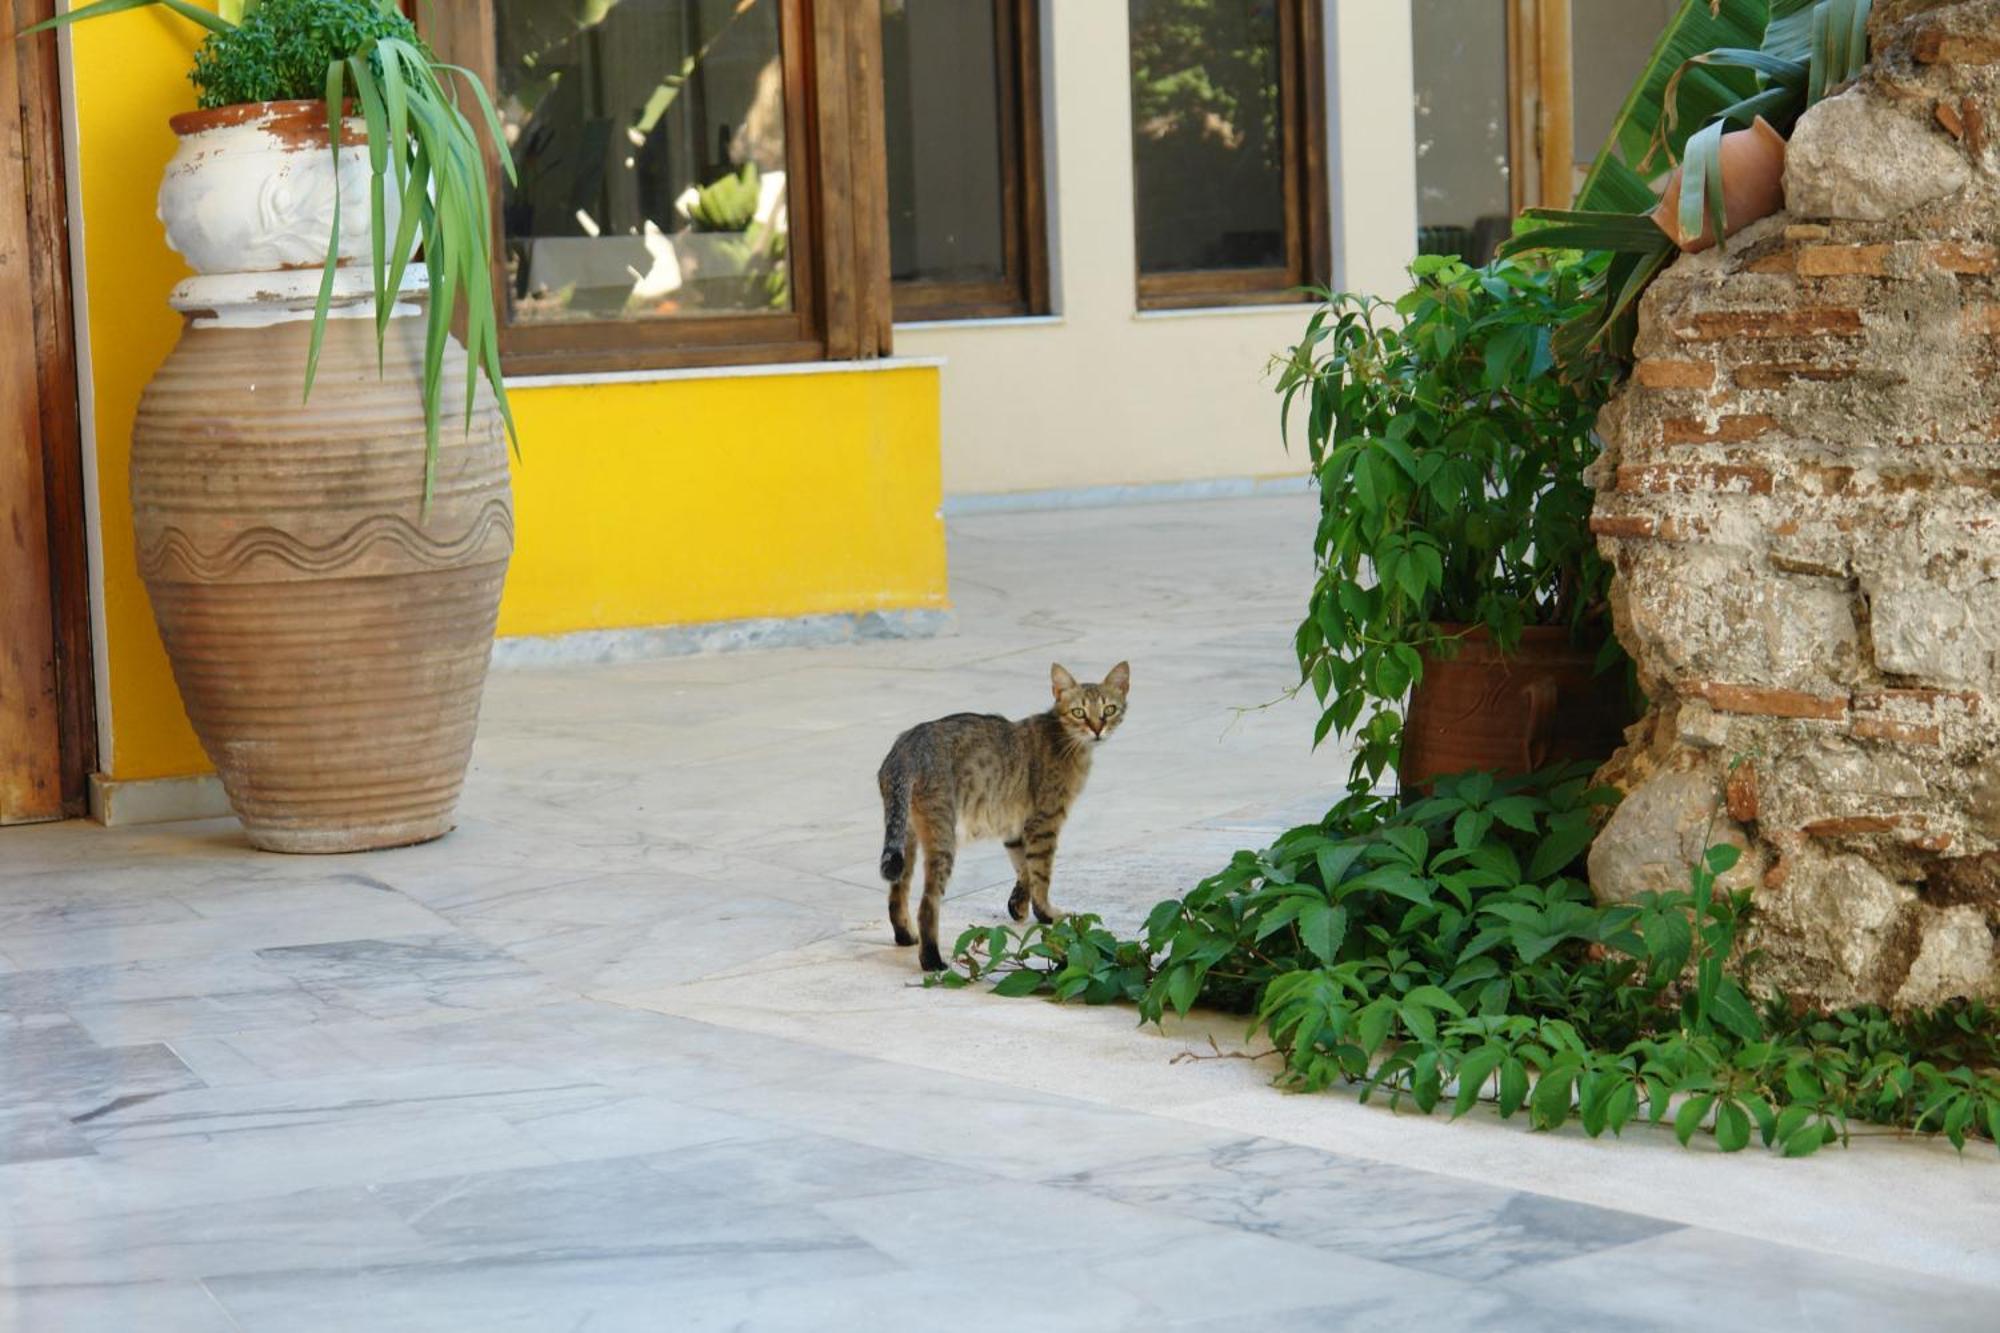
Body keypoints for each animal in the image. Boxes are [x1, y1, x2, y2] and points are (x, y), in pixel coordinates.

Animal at [876, 660, 1128, 964]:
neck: (1065, 739)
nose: (1097, 729)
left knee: (896, 893)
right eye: (1079, 712)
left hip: (907, 837)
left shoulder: (1014, 825)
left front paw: (1019, 904)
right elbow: (1041, 874)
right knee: (927, 904)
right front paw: (1046, 913)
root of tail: (906, 747)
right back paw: (932, 961)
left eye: (1109, 709)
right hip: (942, 835)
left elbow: (1023, 868)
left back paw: (905, 935)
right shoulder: (1045, 822)